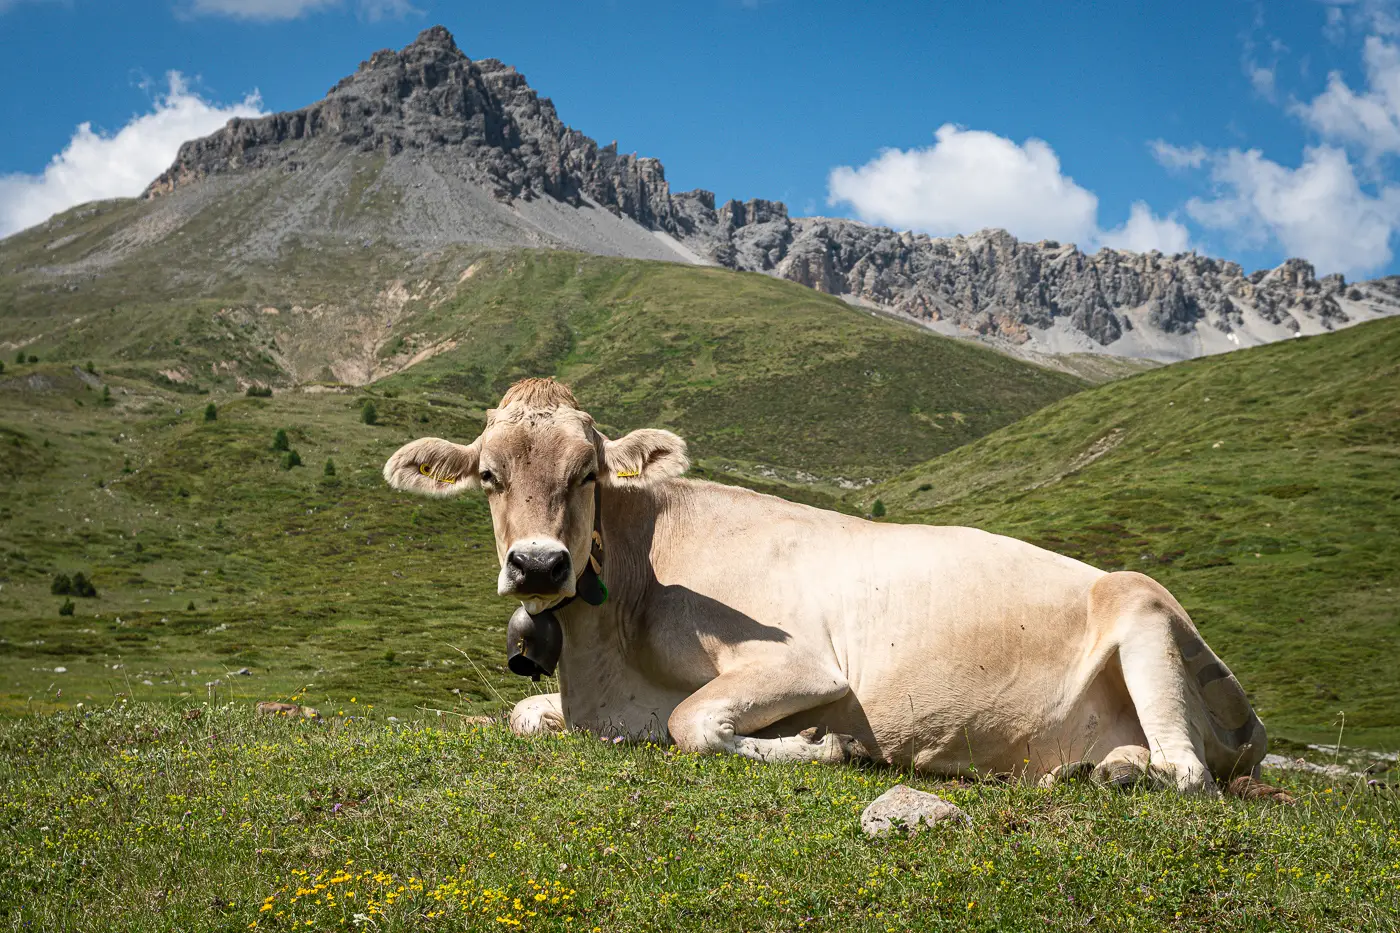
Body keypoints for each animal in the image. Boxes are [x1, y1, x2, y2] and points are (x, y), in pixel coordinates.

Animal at [383, 378, 1268, 792]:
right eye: (489, 475)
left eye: (588, 472)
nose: (539, 564)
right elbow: (525, 713)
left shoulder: (806, 664)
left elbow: (690, 721)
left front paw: (827, 744)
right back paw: (1094, 771)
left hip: (1144, 610)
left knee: (1188, 771)